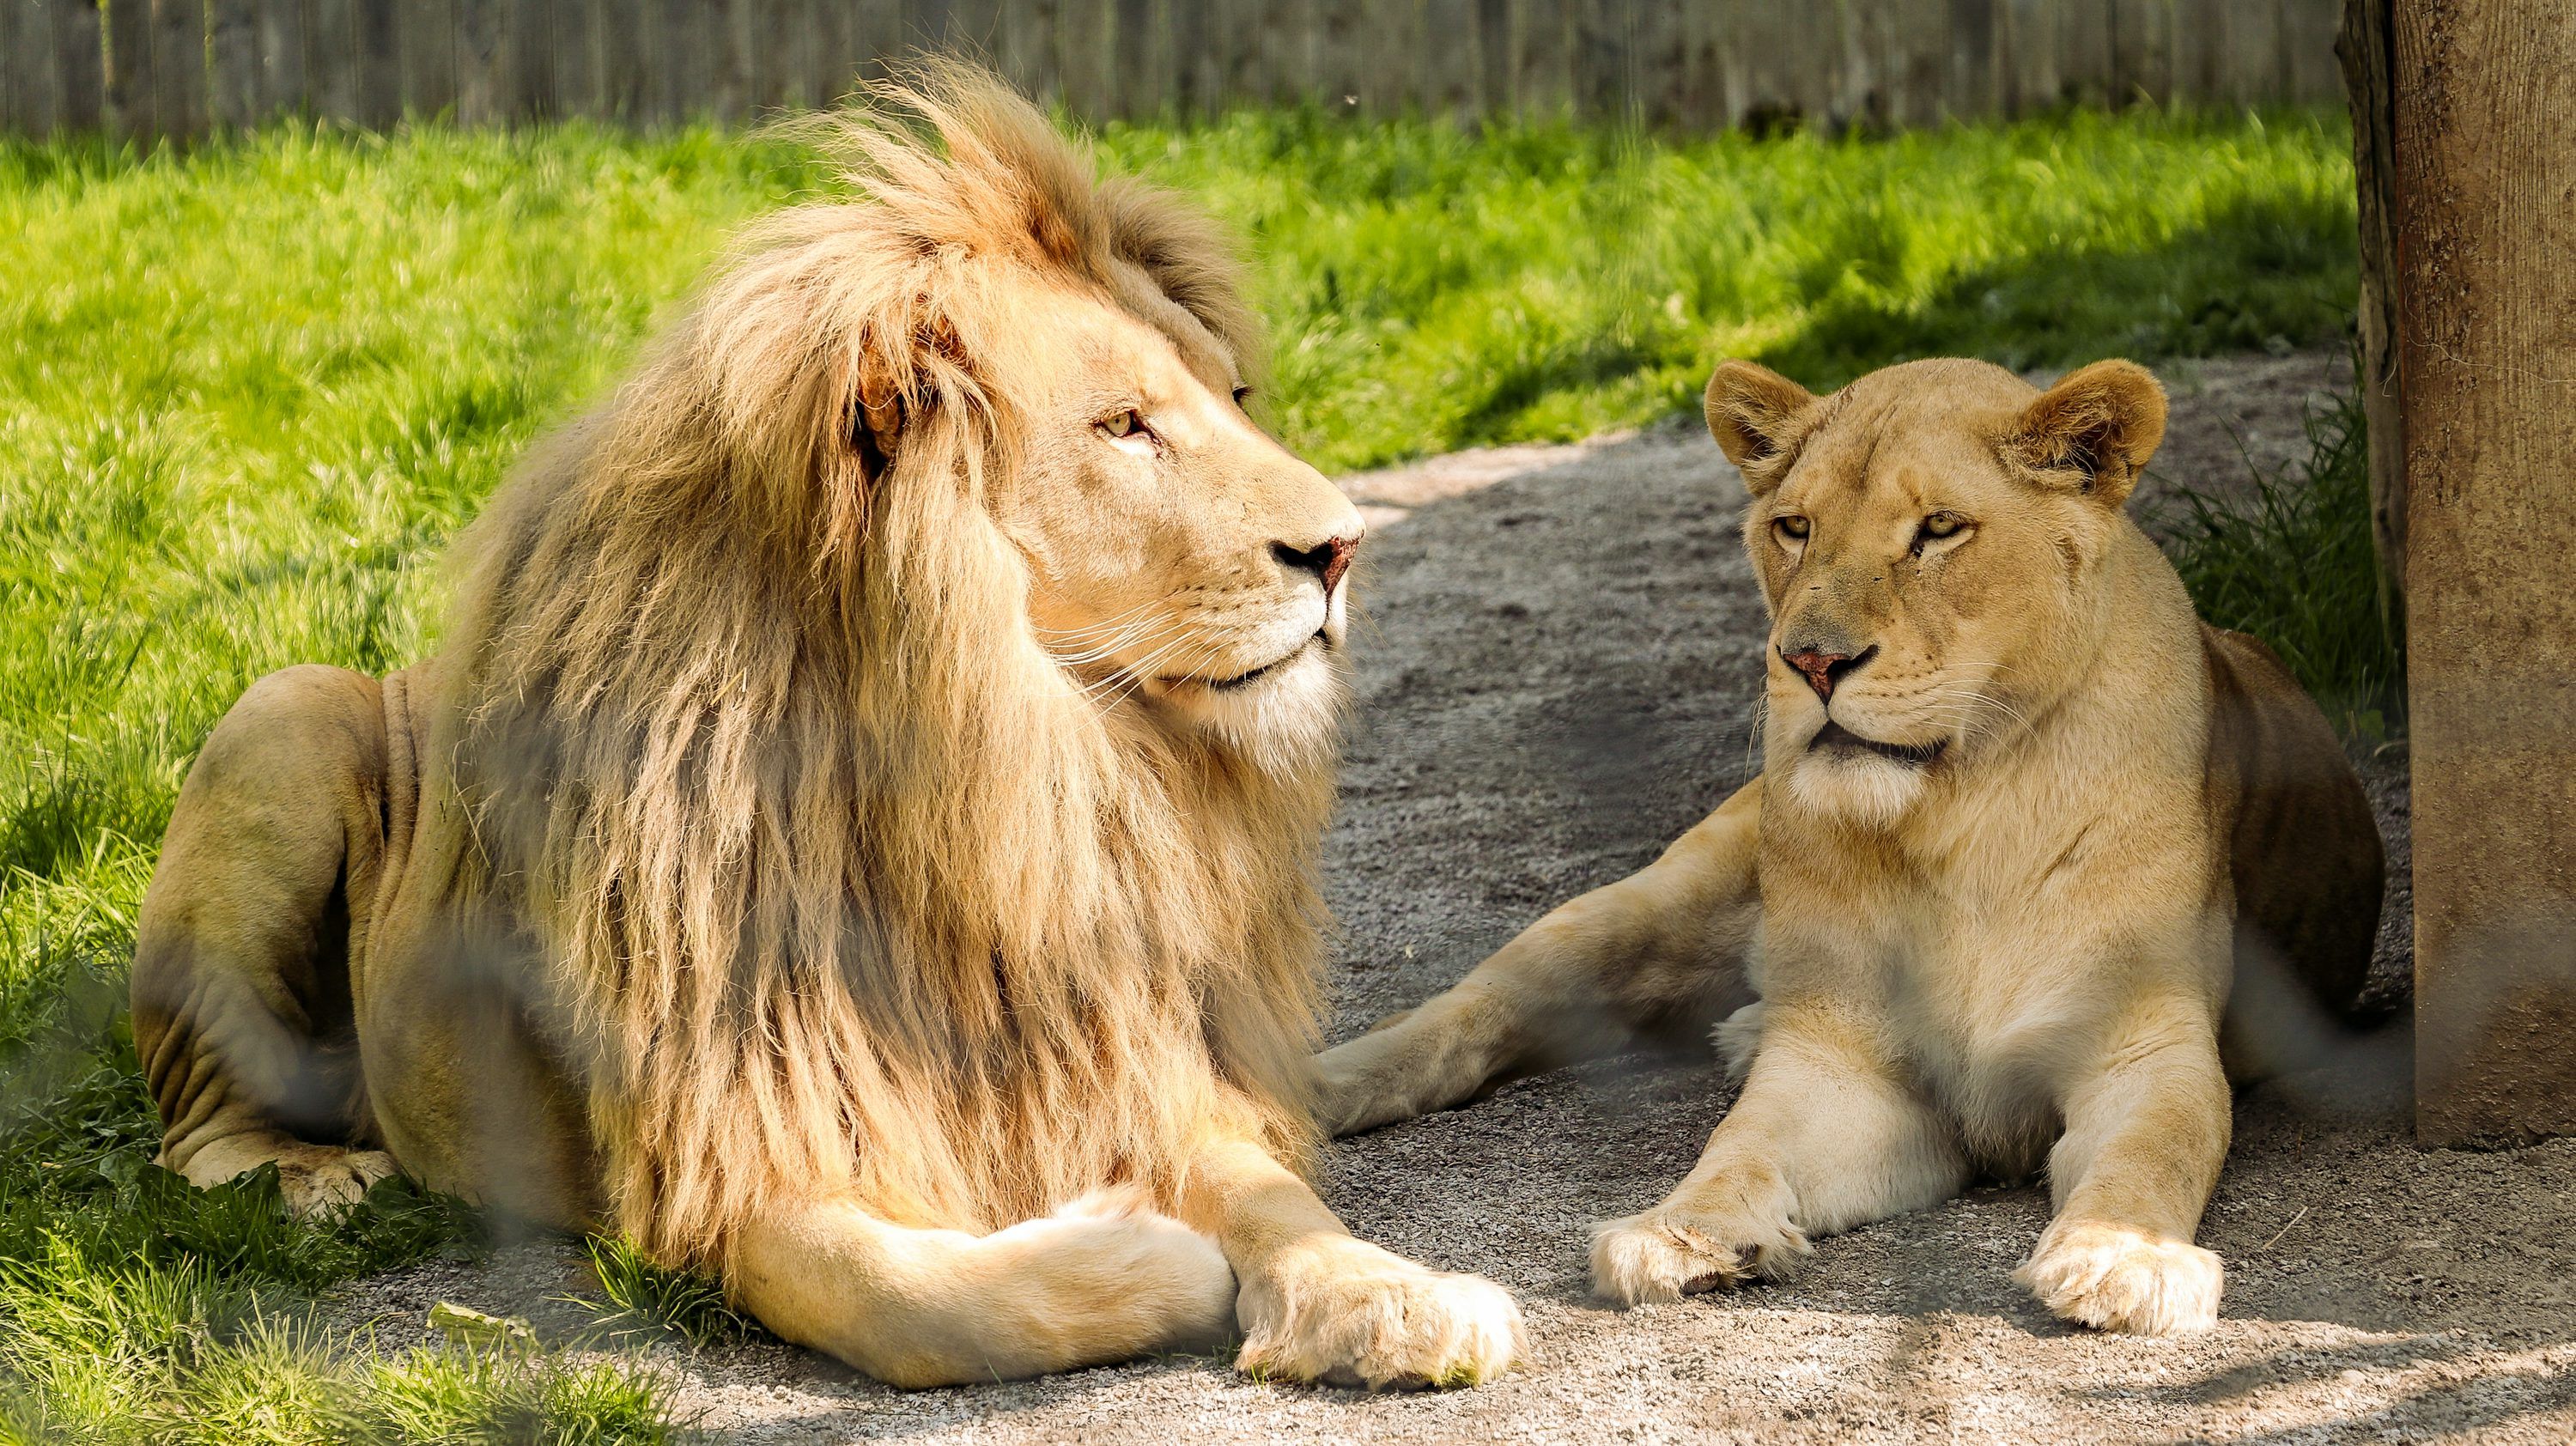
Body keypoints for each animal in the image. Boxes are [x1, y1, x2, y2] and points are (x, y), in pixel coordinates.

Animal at [129, 65, 1522, 1390]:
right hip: (284, 718)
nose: (1344, 547)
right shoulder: (729, 1151)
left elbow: (1272, 1193)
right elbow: (919, 1301)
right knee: (190, 1129)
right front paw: (1149, 1254)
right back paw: (314, 1180)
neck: (1010, 777)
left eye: (1235, 396)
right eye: (1124, 426)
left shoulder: (1117, 1059)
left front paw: (1389, 1297)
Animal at [1313, 356, 2385, 1336]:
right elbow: (1739, 1144)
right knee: (1477, 1007)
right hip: (1654, 906)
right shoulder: (1841, 1065)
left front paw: (2125, 1262)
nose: (1813, 661)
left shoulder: (2147, 1046)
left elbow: (2151, 1154)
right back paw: (1318, 1089)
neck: (1962, 812)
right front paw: (1682, 1234)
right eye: (1796, 527)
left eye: (1939, 529)